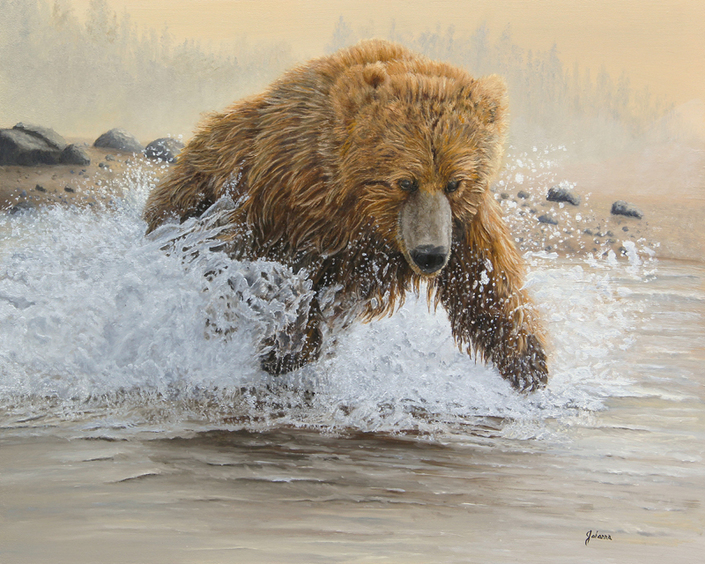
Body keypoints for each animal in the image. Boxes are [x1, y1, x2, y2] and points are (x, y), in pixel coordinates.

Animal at [144, 39, 548, 392]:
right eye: (404, 181)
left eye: (455, 182)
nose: (430, 255)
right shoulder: (291, 205)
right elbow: (284, 276)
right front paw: (288, 347)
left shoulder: (459, 222)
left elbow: (486, 280)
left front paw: (528, 361)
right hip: (193, 205)